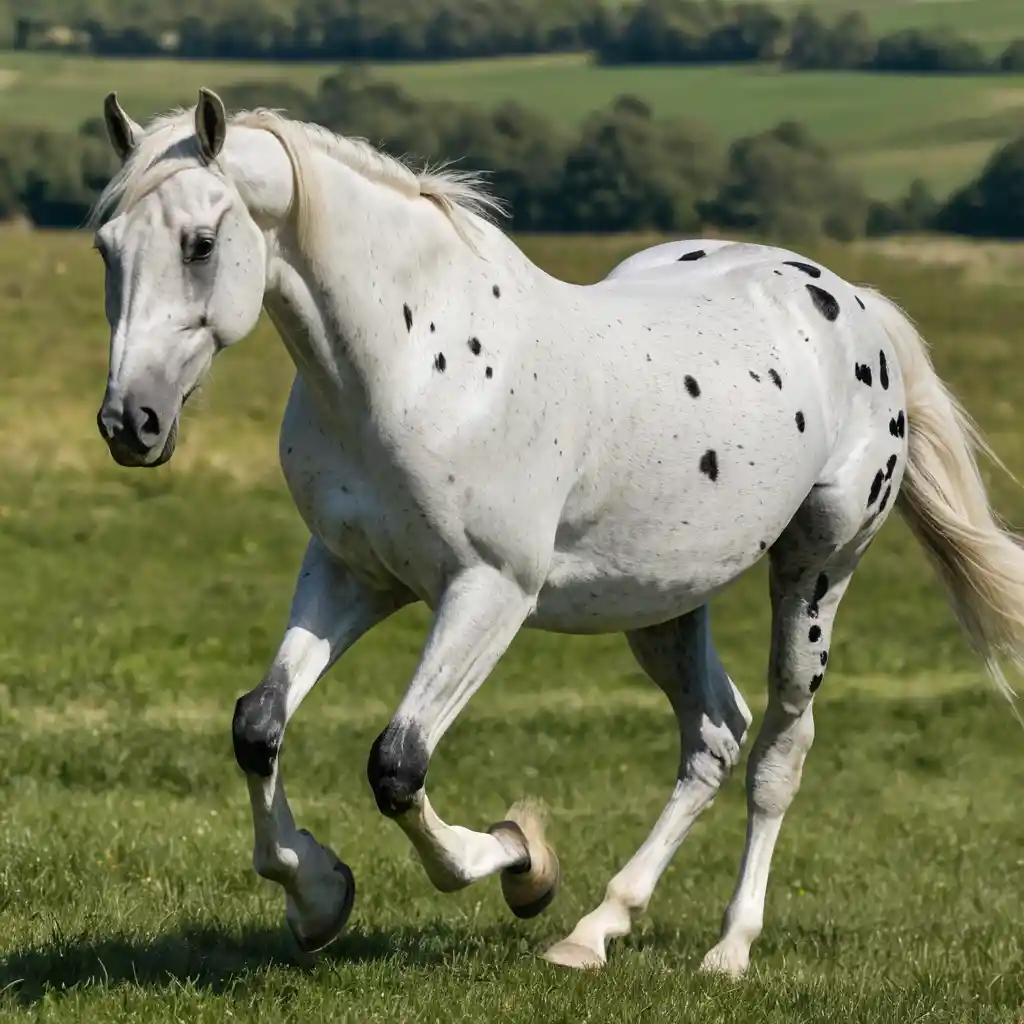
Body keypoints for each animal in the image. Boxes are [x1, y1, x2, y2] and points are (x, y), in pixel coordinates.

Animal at [89, 88, 1024, 976]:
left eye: (200, 243)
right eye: (106, 247)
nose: (131, 423)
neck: (416, 366)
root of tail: (853, 304)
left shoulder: (488, 593)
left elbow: (398, 763)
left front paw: (520, 861)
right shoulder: (351, 572)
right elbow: (259, 725)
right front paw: (319, 898)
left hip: (818, 568)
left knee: (778, 751)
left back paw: (728, 949)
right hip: (660, 602)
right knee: (714, 734)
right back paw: (595, 932)